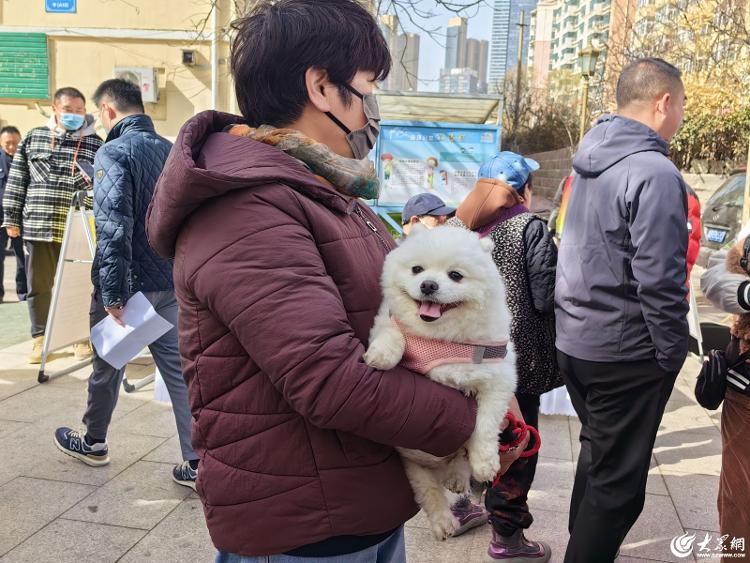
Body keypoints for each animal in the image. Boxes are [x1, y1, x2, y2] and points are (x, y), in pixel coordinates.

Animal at [364, 225, 516, 540]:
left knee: (456, 462)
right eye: (417, 269)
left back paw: (457, 478)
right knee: (429, 491)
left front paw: (485, 463)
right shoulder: (389, 323)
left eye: (455, 275)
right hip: (412, 465)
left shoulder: (498, 377)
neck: (441, 340)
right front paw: (382, 355)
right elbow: (394, 332)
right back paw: (444, 522)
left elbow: (484, 425)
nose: (428, 285)